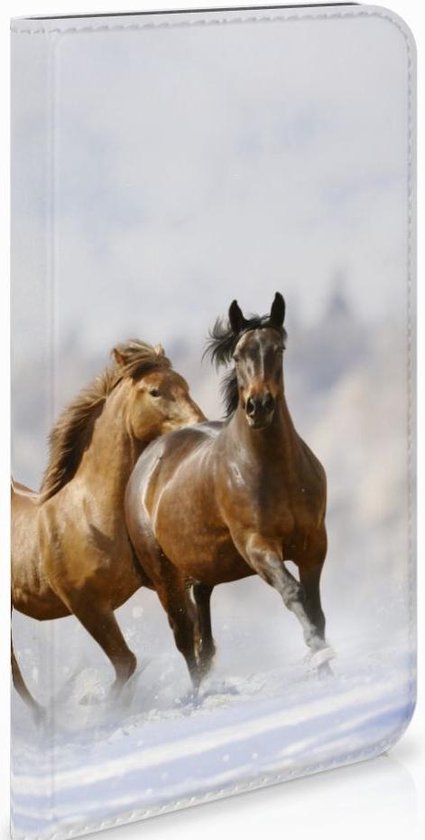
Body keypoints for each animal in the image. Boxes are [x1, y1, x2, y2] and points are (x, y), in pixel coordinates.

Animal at [11, 340, 204, 720]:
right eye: (155, 391)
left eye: (184, 384)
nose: (199, 424)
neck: (90, 514)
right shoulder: (88, 605)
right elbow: (126, 663)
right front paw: (97, 705)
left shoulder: (165, 580)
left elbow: (188, 634)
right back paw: (43, 718)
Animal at [125, 294, 334, 691]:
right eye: (237, 356)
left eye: (278, 348)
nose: (258, 406)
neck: (274, 471)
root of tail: (145, 464)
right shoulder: (257, 546)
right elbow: (293, 593)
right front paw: (318, 653)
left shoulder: (313, 543)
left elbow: (316, 607)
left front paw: (326, 667)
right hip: (165, 578)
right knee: (184, 636)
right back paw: (197, 694)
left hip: (203, 570)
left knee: (203, 636)